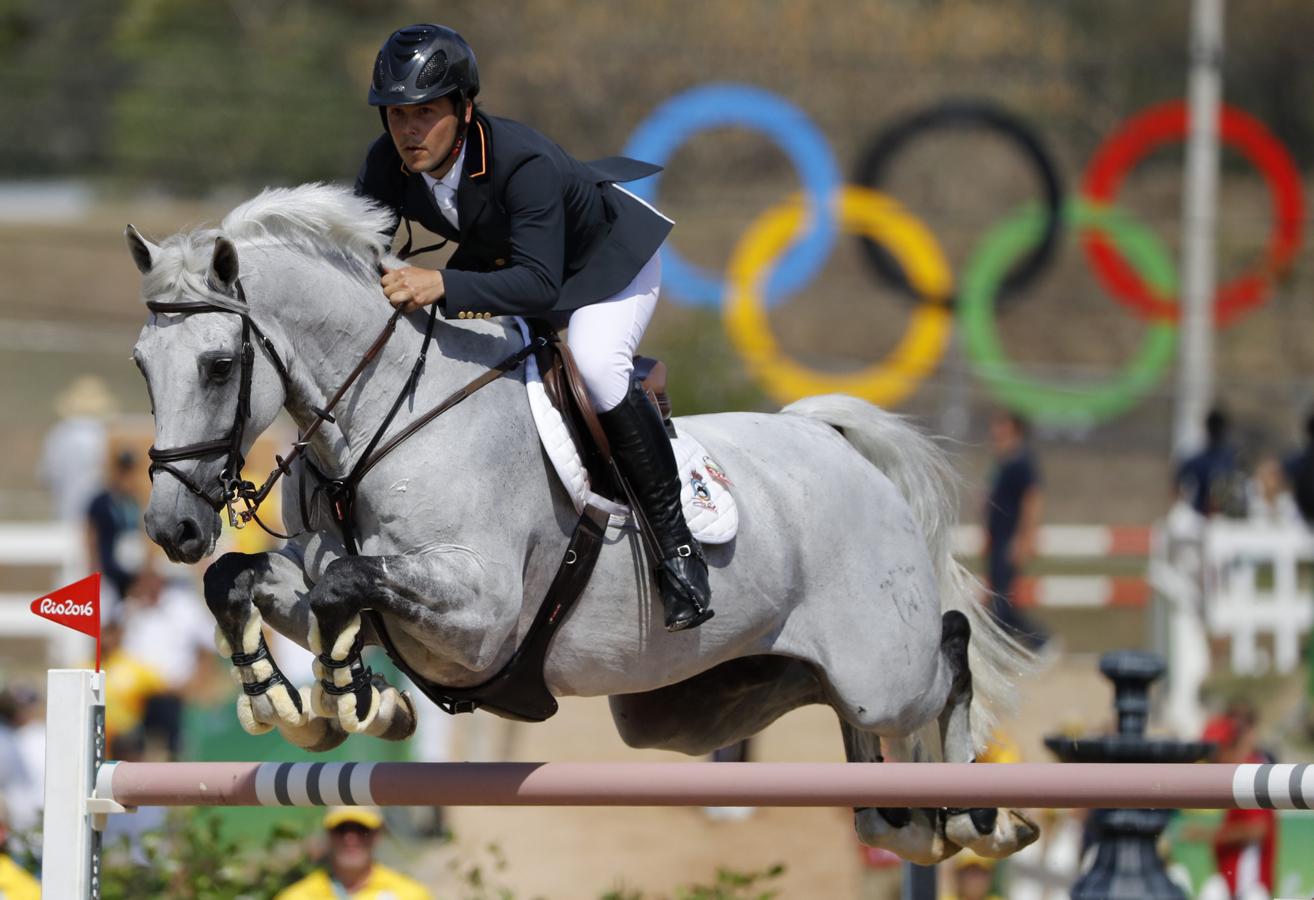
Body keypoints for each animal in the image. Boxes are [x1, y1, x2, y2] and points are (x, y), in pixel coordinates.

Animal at [130, 182, 1035, 861]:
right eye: (142, 365)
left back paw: (984, 816)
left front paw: (351, 699)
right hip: (693, 707)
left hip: (882, 670)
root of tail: (832, 440)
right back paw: (911, 819)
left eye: (218, 365)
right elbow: (244, 581)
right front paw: (293, 704)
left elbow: (344, 587)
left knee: (947, 654)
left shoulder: (481, 616)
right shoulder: (331, 576)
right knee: (847, 732)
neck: (380, 422)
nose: (172, 529)